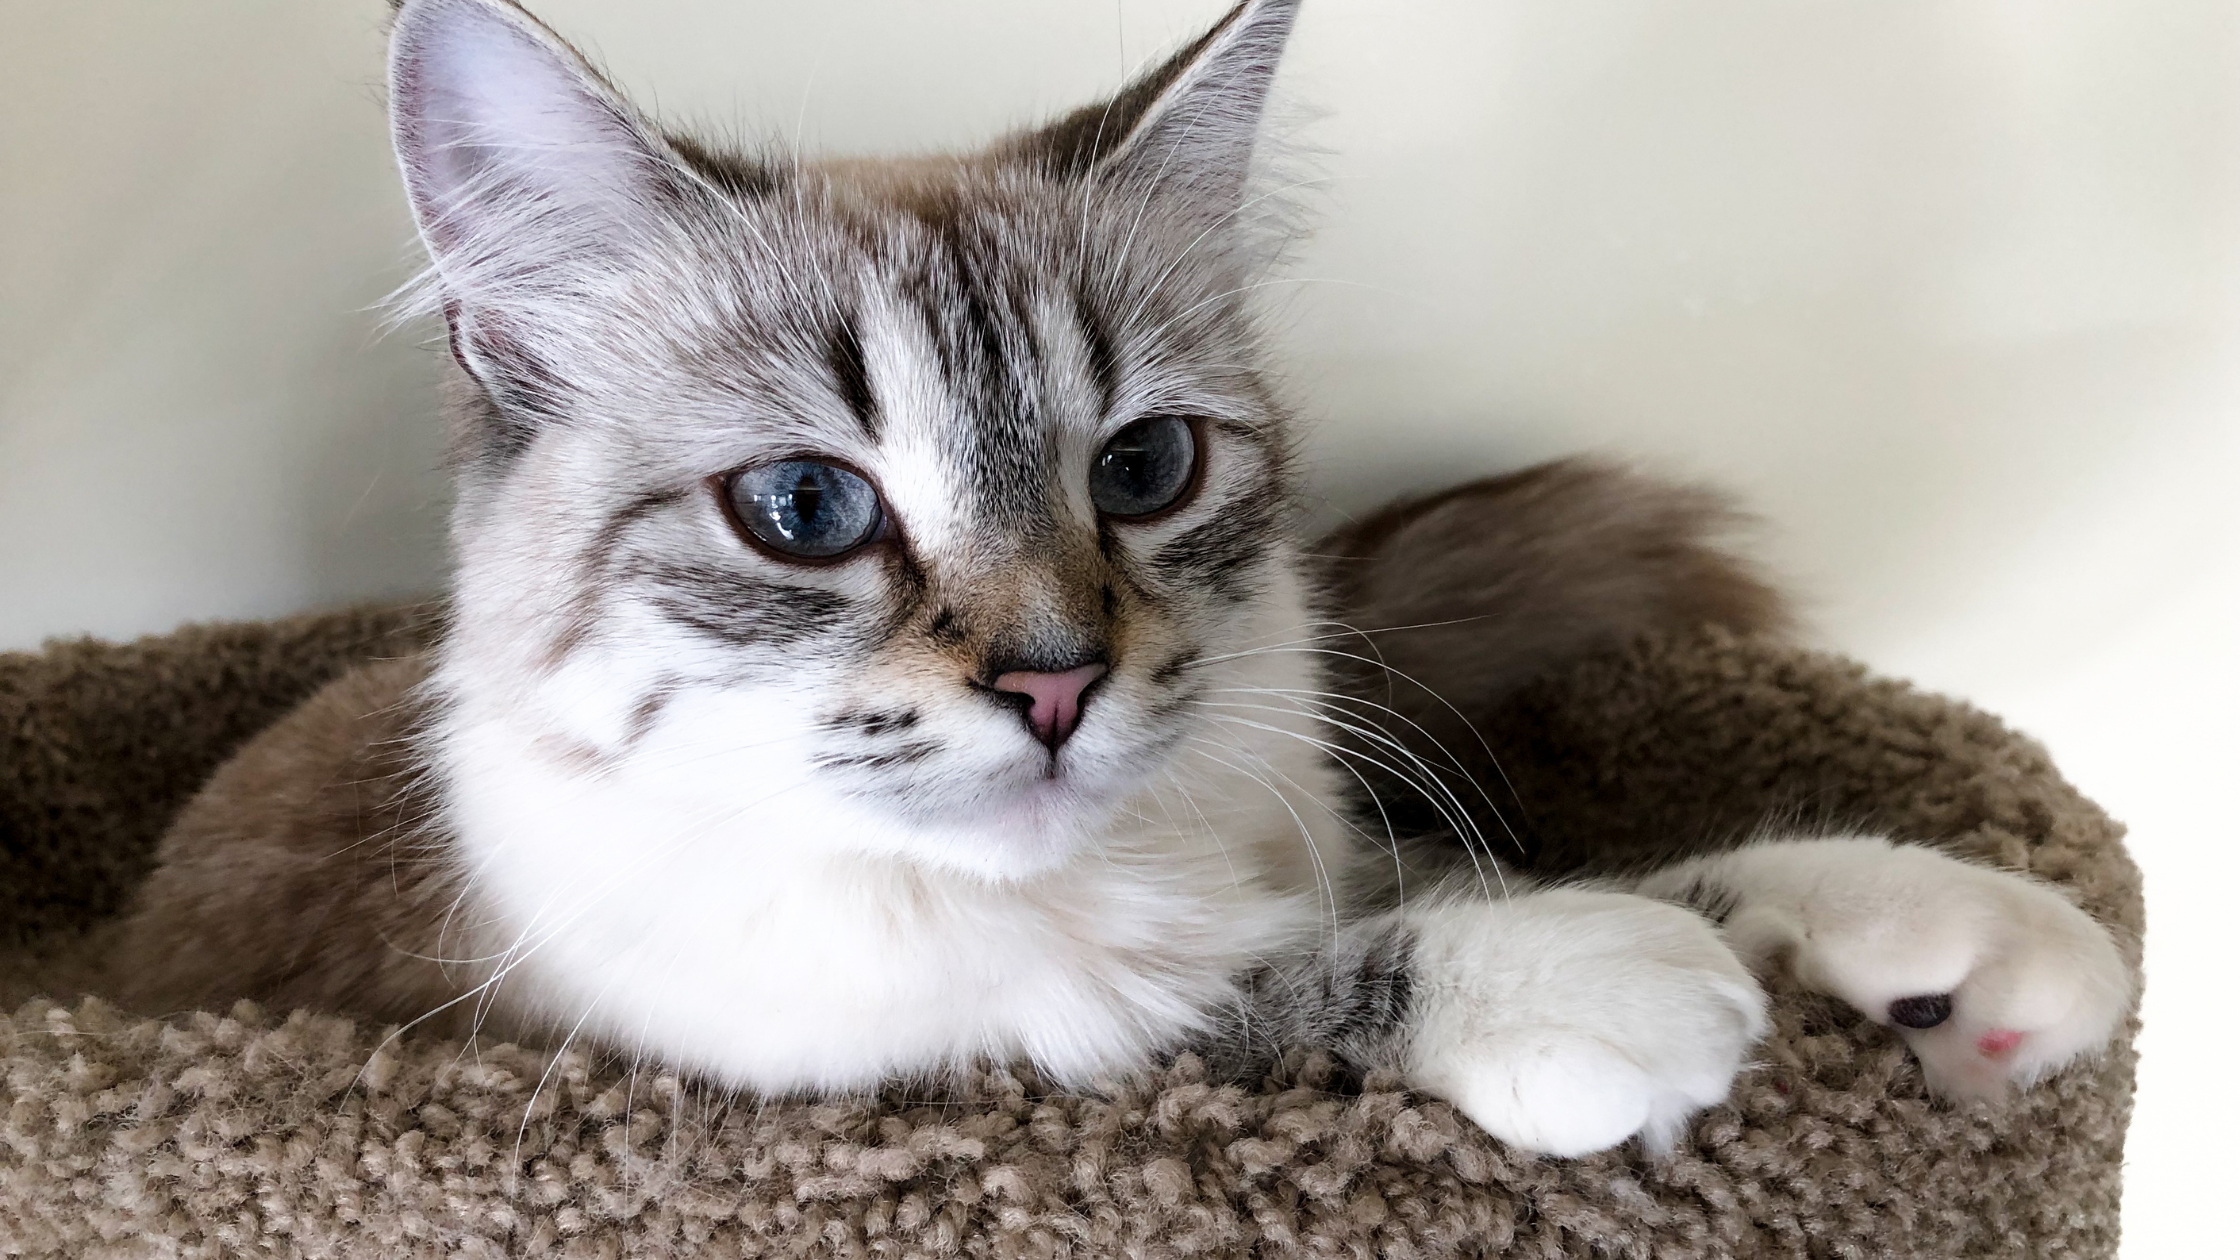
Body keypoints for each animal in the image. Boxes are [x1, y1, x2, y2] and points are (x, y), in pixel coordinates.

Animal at [109, 0, 2132, 1156]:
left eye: (1144, 472)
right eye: (804, 509)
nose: (1057, 681)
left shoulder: (1315, 832)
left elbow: (1559, 871)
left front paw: (1945, 947)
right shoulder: (813, 1063)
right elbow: (1207, 1008)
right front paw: (1622, 990)